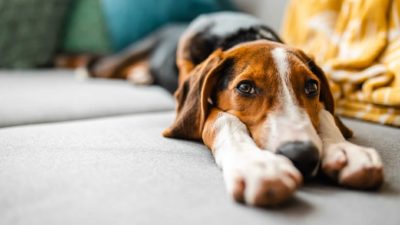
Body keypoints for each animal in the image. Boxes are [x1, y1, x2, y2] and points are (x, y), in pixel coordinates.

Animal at [84, 11, 384, 206]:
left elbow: (324, 113)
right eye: (245, 88)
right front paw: (257, 165)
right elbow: (223, 120)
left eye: (312, 87)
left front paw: (346, 149)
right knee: (95, 65)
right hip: (126, 56)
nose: (302, 155)